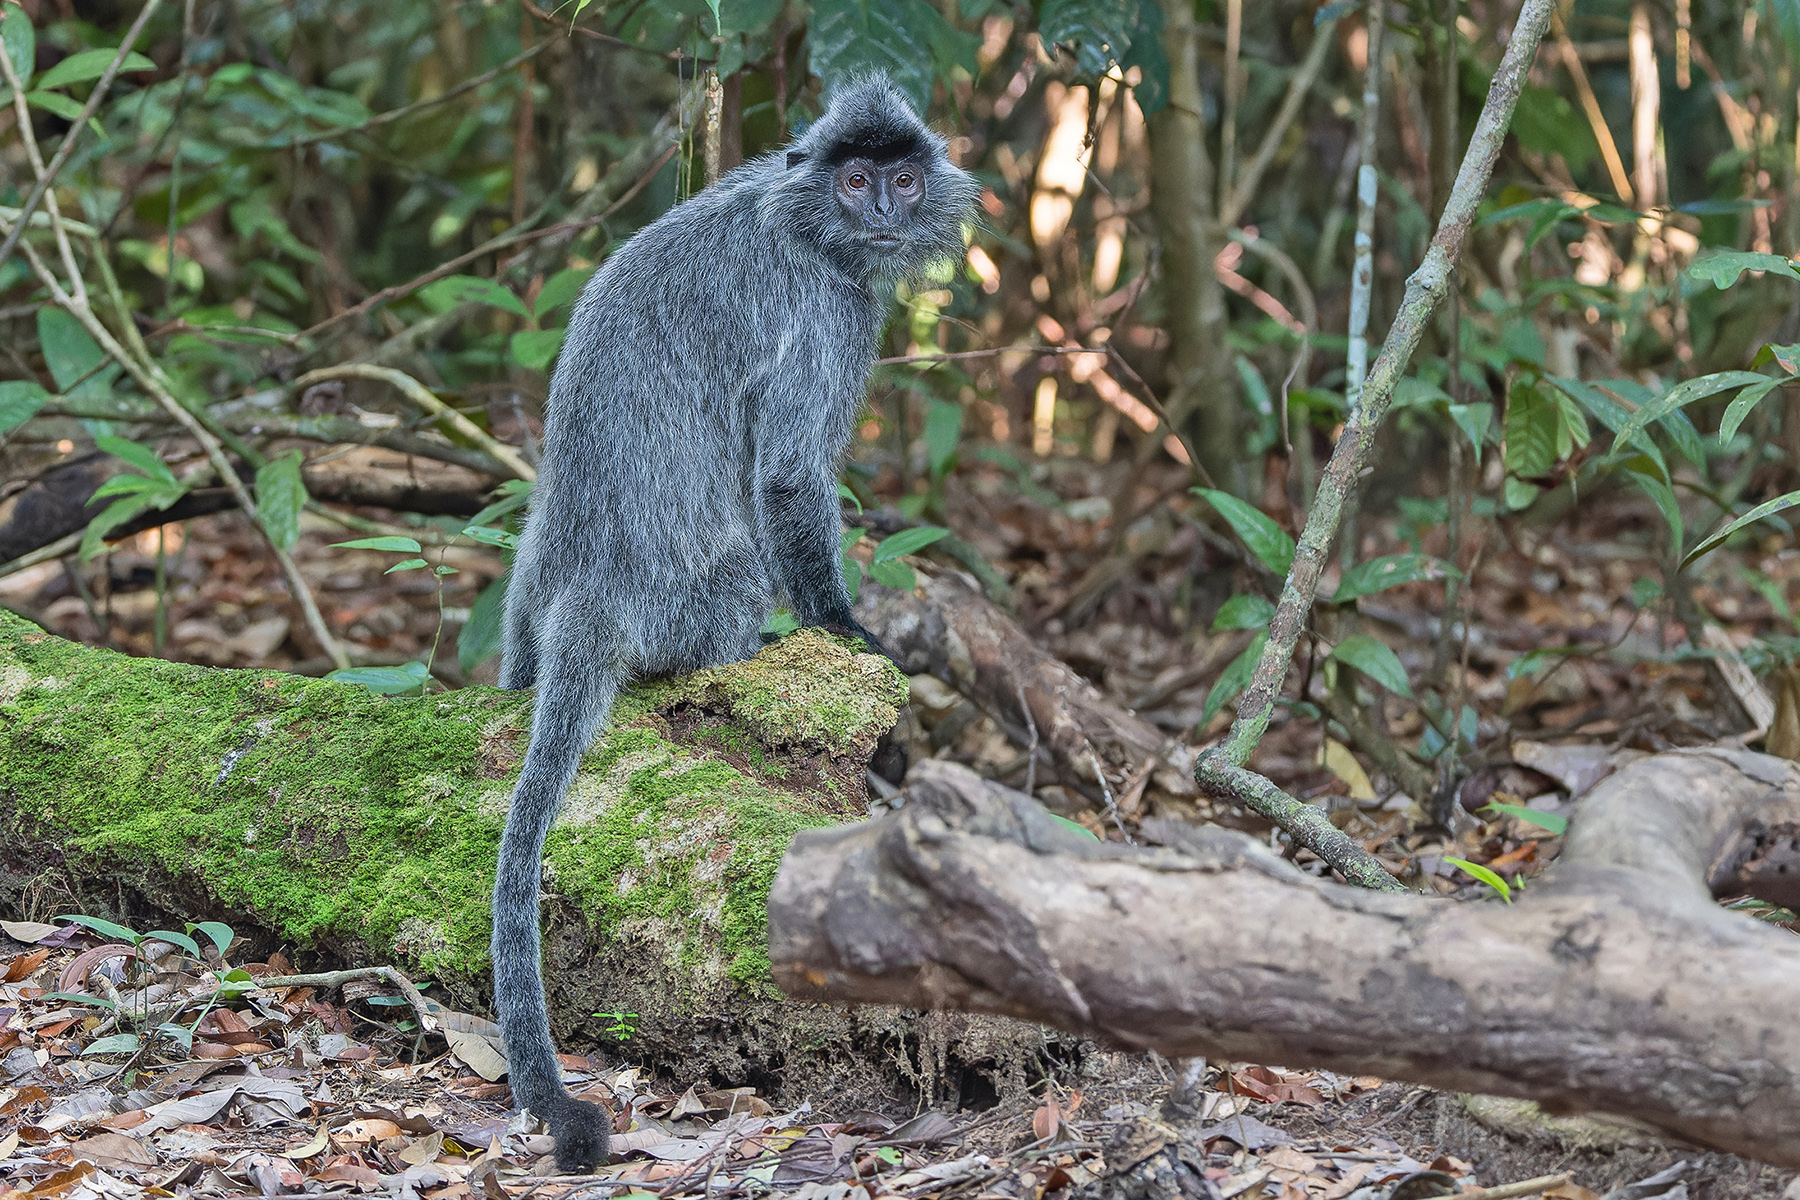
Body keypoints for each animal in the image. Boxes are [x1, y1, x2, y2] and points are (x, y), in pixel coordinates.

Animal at [489, 74, 980, 1174]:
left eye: (899, 178)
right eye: (855, 181)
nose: (884, 213)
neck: (798, 215)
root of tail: (591, 593)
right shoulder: (829, 309)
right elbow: (792, 475)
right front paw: (846, 628)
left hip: (538, 584)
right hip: (701, 601)